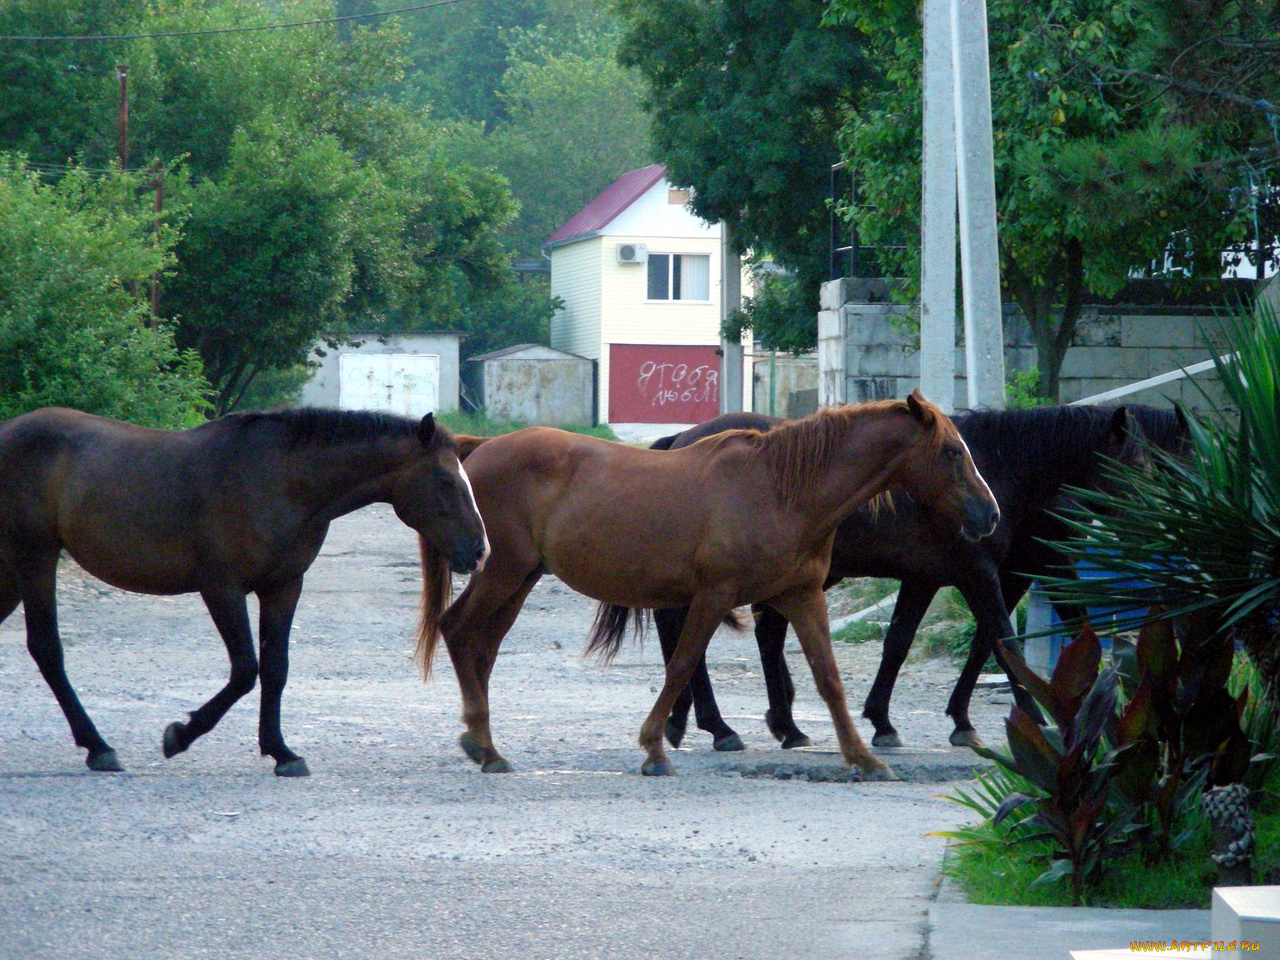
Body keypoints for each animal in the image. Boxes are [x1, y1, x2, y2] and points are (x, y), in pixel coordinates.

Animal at [0, 409, 488, 778]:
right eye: (446, 481)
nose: (480, 551)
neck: (280, 480)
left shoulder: (283, 587)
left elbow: (275, 669)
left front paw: (282, 752)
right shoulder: (223, 588)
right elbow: (245, 670)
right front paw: (180, 735)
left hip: (14, 570)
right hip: (35, 557)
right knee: (47, 649)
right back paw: (98, 747)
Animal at [419, 394, 998, 778]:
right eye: (952, 452)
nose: (989, 514)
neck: (783, 489)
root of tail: (478, 452)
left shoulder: (801, 596)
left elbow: (828, 678)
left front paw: (863, 757)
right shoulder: (715, 596)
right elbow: (681, 665)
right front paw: (655, 748)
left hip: (519, 579)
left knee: (482, 647)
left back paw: (482, 742)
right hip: (501, 573)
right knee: (458, 631)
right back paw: (483, 745)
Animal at [604, 401, 1182, 757]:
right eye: (1137, 464)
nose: (1163, 524)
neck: (1000, 470)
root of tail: (684, 438)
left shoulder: (936, 578)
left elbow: (906, 642)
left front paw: (895, 720)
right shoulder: (981, 573)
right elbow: (1003, 639)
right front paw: (1036, 715)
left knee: (735, 634)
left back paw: (756, 725)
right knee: (687, 630)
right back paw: (715, 725)